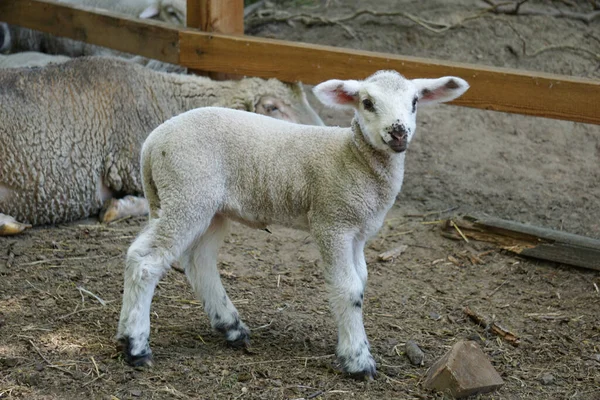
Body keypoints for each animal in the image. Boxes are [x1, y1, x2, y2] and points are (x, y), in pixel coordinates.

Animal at [117, 69, 472, 378]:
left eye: (414, 102)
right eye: (367, 103)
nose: (398, 132)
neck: (353, 158)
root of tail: (152, 143)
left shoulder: (358, 231)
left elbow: (361, 282)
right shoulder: (332, 221)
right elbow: (347, 287)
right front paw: (357, 360)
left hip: (208, 207)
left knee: (198, 261)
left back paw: (230, 327)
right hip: (187, 194)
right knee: (145, 260)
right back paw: (135, 346)